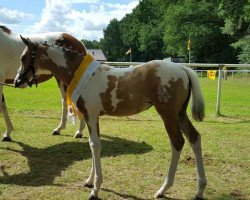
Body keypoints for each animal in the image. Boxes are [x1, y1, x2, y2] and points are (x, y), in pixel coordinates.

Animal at [14, 36, 208, 199]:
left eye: (23, 58)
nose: (17, 82)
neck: (82, 75)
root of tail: (182, 68)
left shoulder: (91, 115)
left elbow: (95, 146)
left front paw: (95, 189)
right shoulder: (91, 116)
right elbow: (92, 144)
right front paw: (89, 181)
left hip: (168, 115)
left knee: (177, 143)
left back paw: (163, 189)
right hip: (180, 114)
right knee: (194, 138)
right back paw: (199, 189)